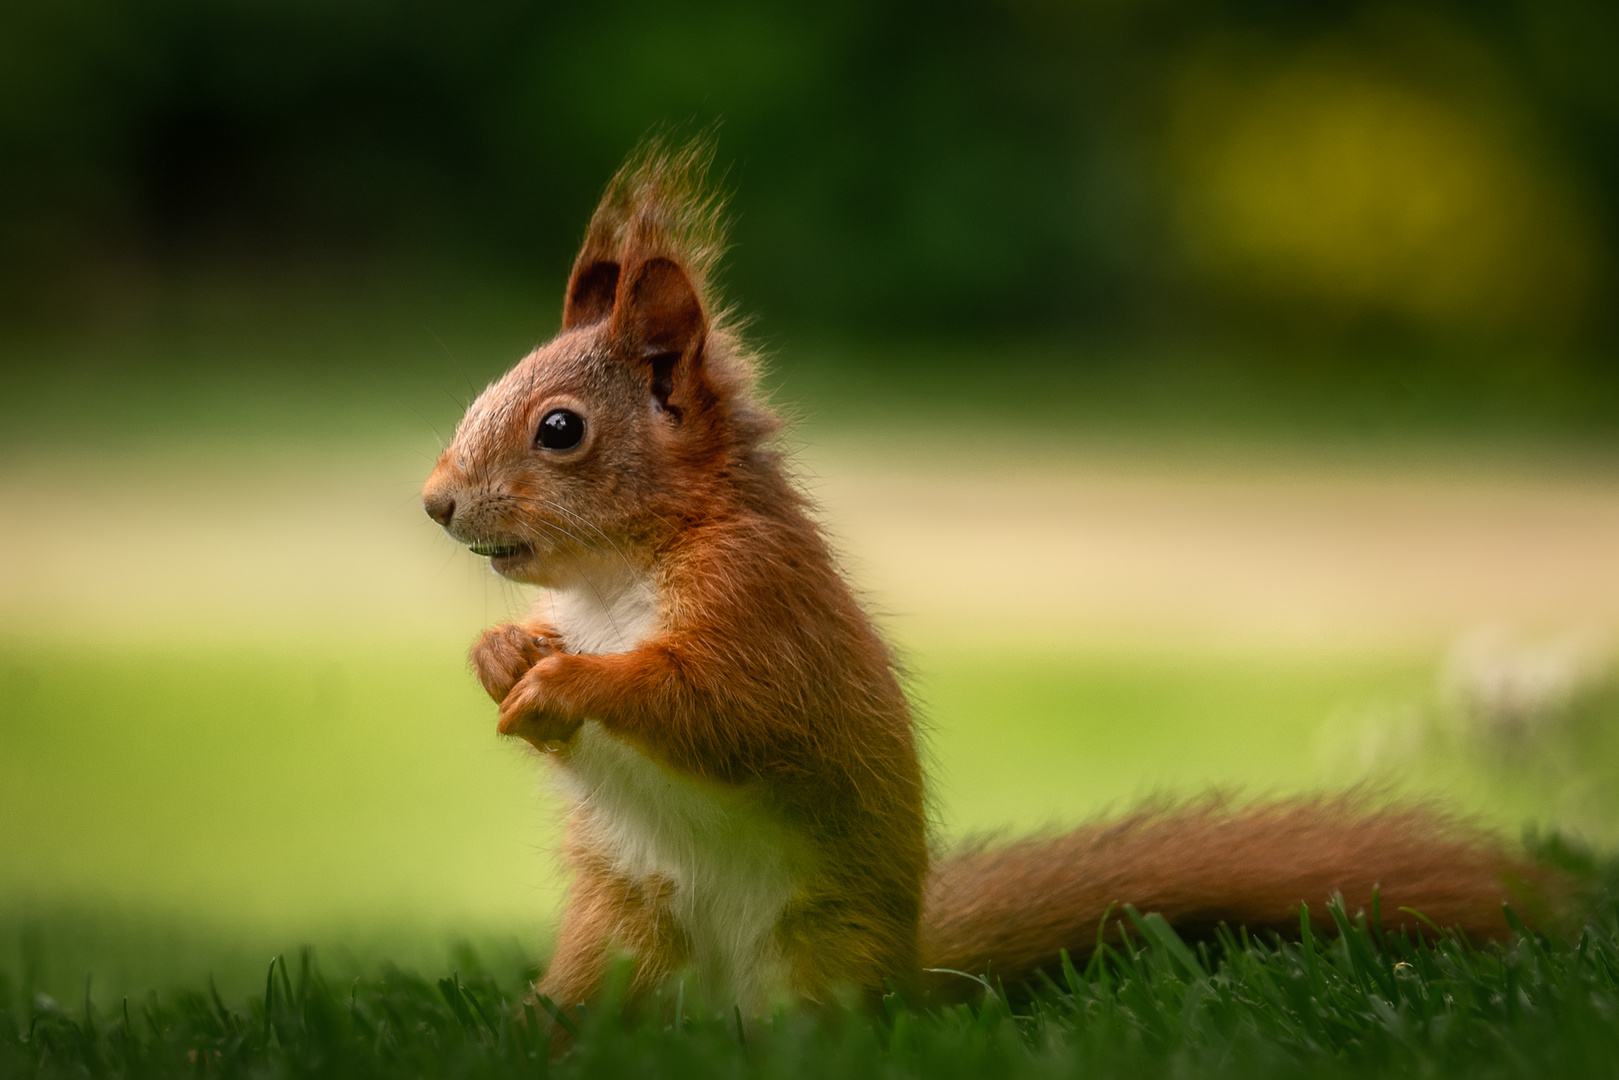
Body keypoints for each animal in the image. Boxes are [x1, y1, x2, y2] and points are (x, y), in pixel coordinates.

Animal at [424, 139, 1560, 1016]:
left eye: (559, 430)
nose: (435, 503)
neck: (619, 577)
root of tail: (908, 965)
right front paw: (500, 652)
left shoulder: (762, 614)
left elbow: (719, 708)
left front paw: (570, 677)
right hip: (615, 935)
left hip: (817, 944)